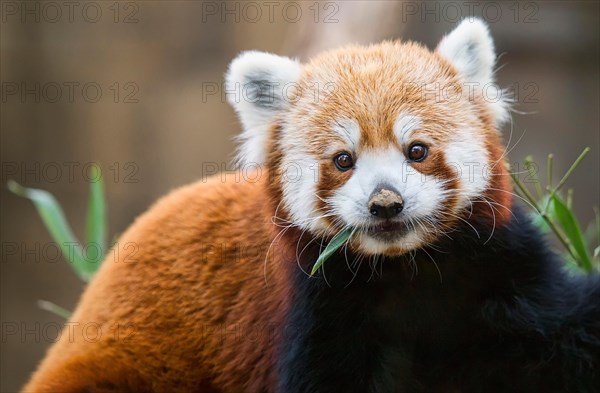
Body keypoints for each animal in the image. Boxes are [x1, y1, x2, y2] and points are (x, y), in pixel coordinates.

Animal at [22, 18, 596, 392]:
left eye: (417, 151)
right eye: (343, 160)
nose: (385, 203)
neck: (406, 272)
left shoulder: (500, 269)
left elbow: (570, 333)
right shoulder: (306, 310)